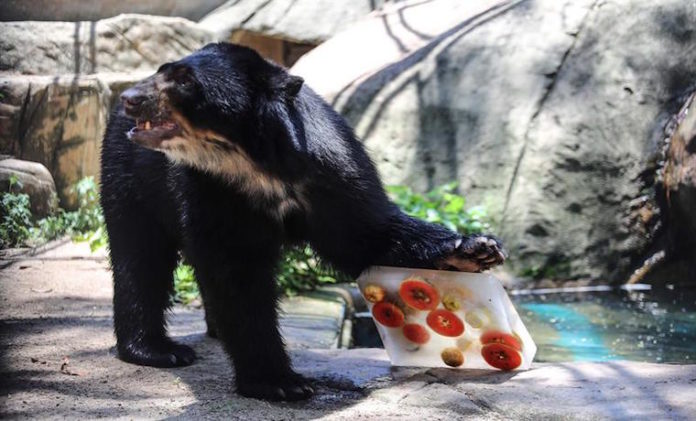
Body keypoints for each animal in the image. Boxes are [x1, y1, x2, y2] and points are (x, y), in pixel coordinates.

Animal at [100, 42, 506, 400]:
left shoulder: (333, 174)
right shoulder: (211, 189)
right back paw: (158, 350)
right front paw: (280, 383)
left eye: (184, 81)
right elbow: (236, 274)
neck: (257, 165)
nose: (132, 98)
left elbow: (365, 234)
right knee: (140, 257)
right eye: (163, 71)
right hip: (131, 177)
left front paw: (475, 251)